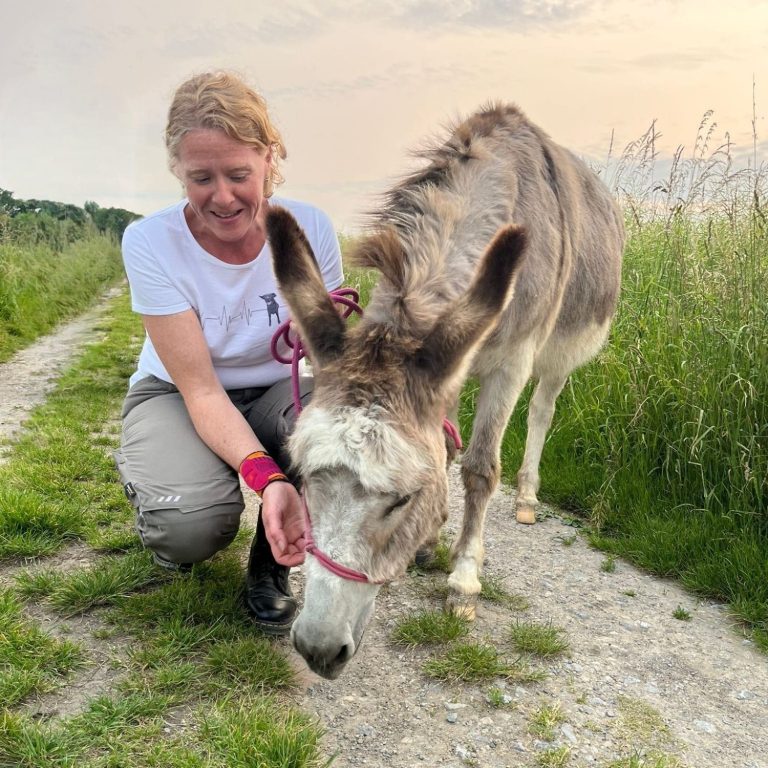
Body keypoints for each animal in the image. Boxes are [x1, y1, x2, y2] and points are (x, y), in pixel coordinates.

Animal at [266, 102, 624, 679]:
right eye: (301, 475)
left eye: (402, 498)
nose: (318, 648)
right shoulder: (446, 368)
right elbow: (447, 453)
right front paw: (432, 538)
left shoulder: (512, 361)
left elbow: (479, 469)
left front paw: (463, 580)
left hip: (560, 355)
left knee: (542, 412)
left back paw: (527, 497)